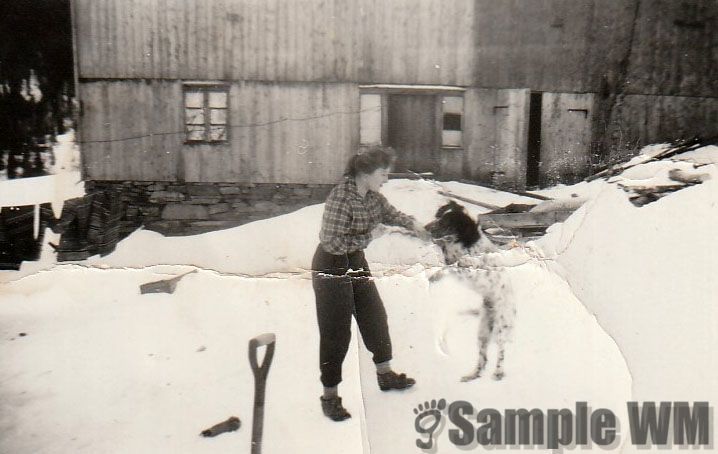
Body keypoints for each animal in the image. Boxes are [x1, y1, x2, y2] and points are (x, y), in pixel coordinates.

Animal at [424, 200, 516, 382]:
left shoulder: (469, 269)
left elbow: (452, 266)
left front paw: (435, 276)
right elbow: (446, 263)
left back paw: (498, 372)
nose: (426, 228)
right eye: (438, 216)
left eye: (446, 222)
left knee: (501, 352)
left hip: (501, 328)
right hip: (482, 334)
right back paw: (472, 376)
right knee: (483, 360)